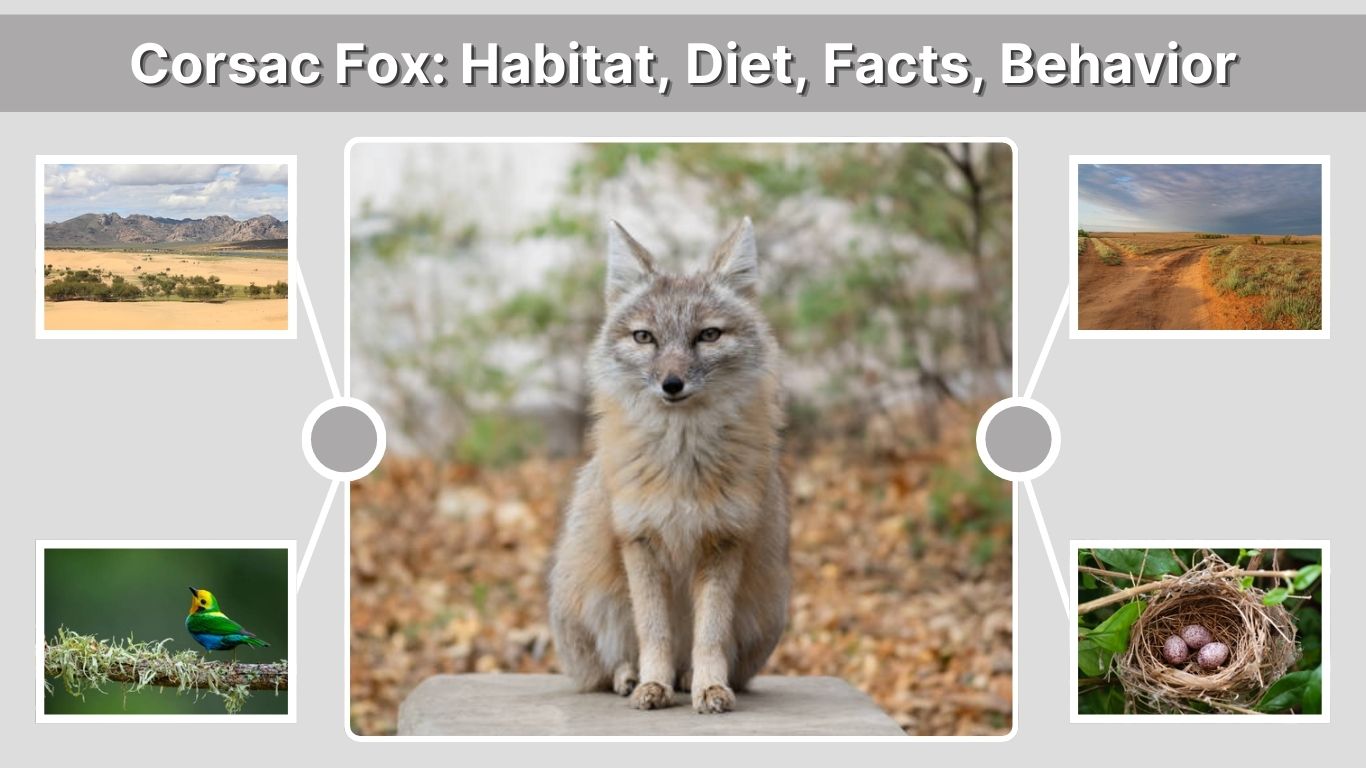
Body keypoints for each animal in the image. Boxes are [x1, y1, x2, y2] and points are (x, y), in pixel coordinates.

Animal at [548, 217, 790, 714]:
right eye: (645, 337)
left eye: (708, 335)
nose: (671, 383)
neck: (682, 470)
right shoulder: (639, 540)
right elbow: (653, 631)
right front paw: (652, 684)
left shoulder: (723, 540)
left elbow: (710, 635)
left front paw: (710, 686)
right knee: (608, 667)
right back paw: (630, 677)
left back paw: (687, 678)